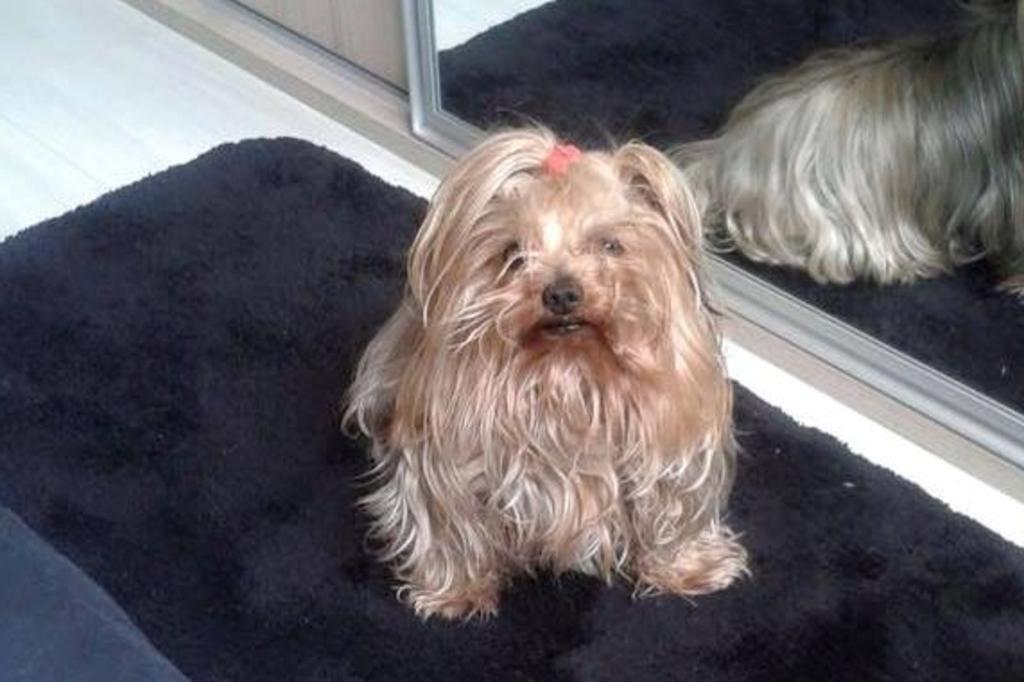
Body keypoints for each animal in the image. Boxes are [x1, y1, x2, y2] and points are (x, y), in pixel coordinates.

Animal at [344, 128, 747, 619]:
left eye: (609, 245)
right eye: (513, 253)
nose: (562, 293)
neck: (571, 371)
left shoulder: (671, 441)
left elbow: (673, 505)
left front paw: (689, 568)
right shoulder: (446, 456)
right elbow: (449, 523)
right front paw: (457, 591)